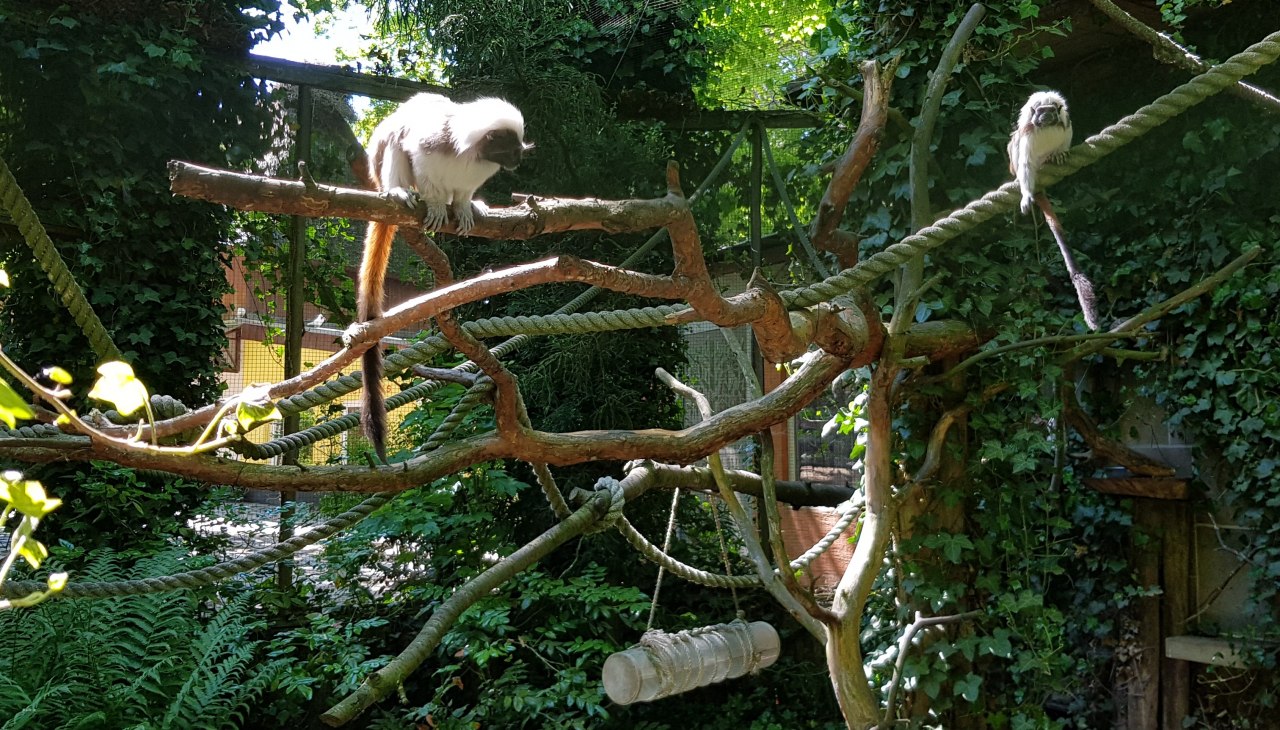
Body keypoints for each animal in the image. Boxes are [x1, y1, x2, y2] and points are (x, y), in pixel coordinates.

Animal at [356, 93, 530, 460]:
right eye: (510, 149)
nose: (519, 160)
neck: (471, 154)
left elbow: (462, 192)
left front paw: (464, 206)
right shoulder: (429, 149)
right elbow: (420, 163)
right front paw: (436, 204)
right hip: (383, 171)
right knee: (394, 140)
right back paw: (397, 191)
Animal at [1007, 90, 1100, 332]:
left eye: (1050, 110)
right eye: (1040, 111)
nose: (1046, 116)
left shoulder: (1065, 123)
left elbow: (1066, 135)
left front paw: (1059, 154)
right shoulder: (1028, 130)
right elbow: (1024, 160)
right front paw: (1026, 196)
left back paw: (1052, 158)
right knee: (1017, 148)